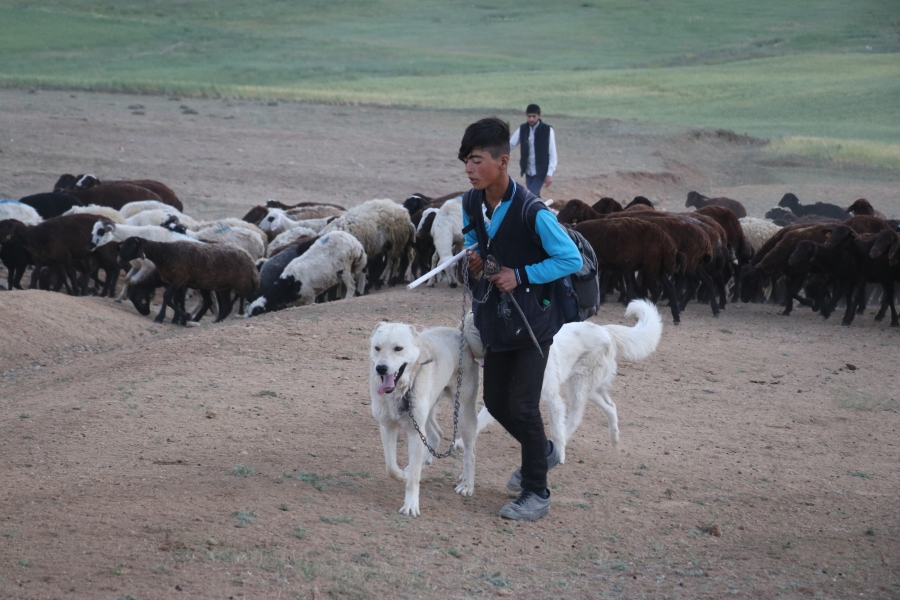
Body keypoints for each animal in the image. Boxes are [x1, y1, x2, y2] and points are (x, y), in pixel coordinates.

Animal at [368, 324, 478, 516]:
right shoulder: (387, 427)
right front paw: (403, 474)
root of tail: (458, 331)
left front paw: (411, 505)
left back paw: (467, 484)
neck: (401, 392)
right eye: (377, 348)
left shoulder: (415, 432)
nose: (381, 368)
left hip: (463, 414)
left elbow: (413, 480)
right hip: (427, 412)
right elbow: (391, 467)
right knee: (437, 434)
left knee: (469, 453)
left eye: (398, 348)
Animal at [458, 300, 660, 464]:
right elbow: (481, 418)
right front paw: (460, 442)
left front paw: (559, 454)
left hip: (578, 385)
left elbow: (556, 427)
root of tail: (605, 330)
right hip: (589, 388)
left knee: (576, 417)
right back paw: (614, 438)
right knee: (610, 406)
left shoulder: (552, 398)